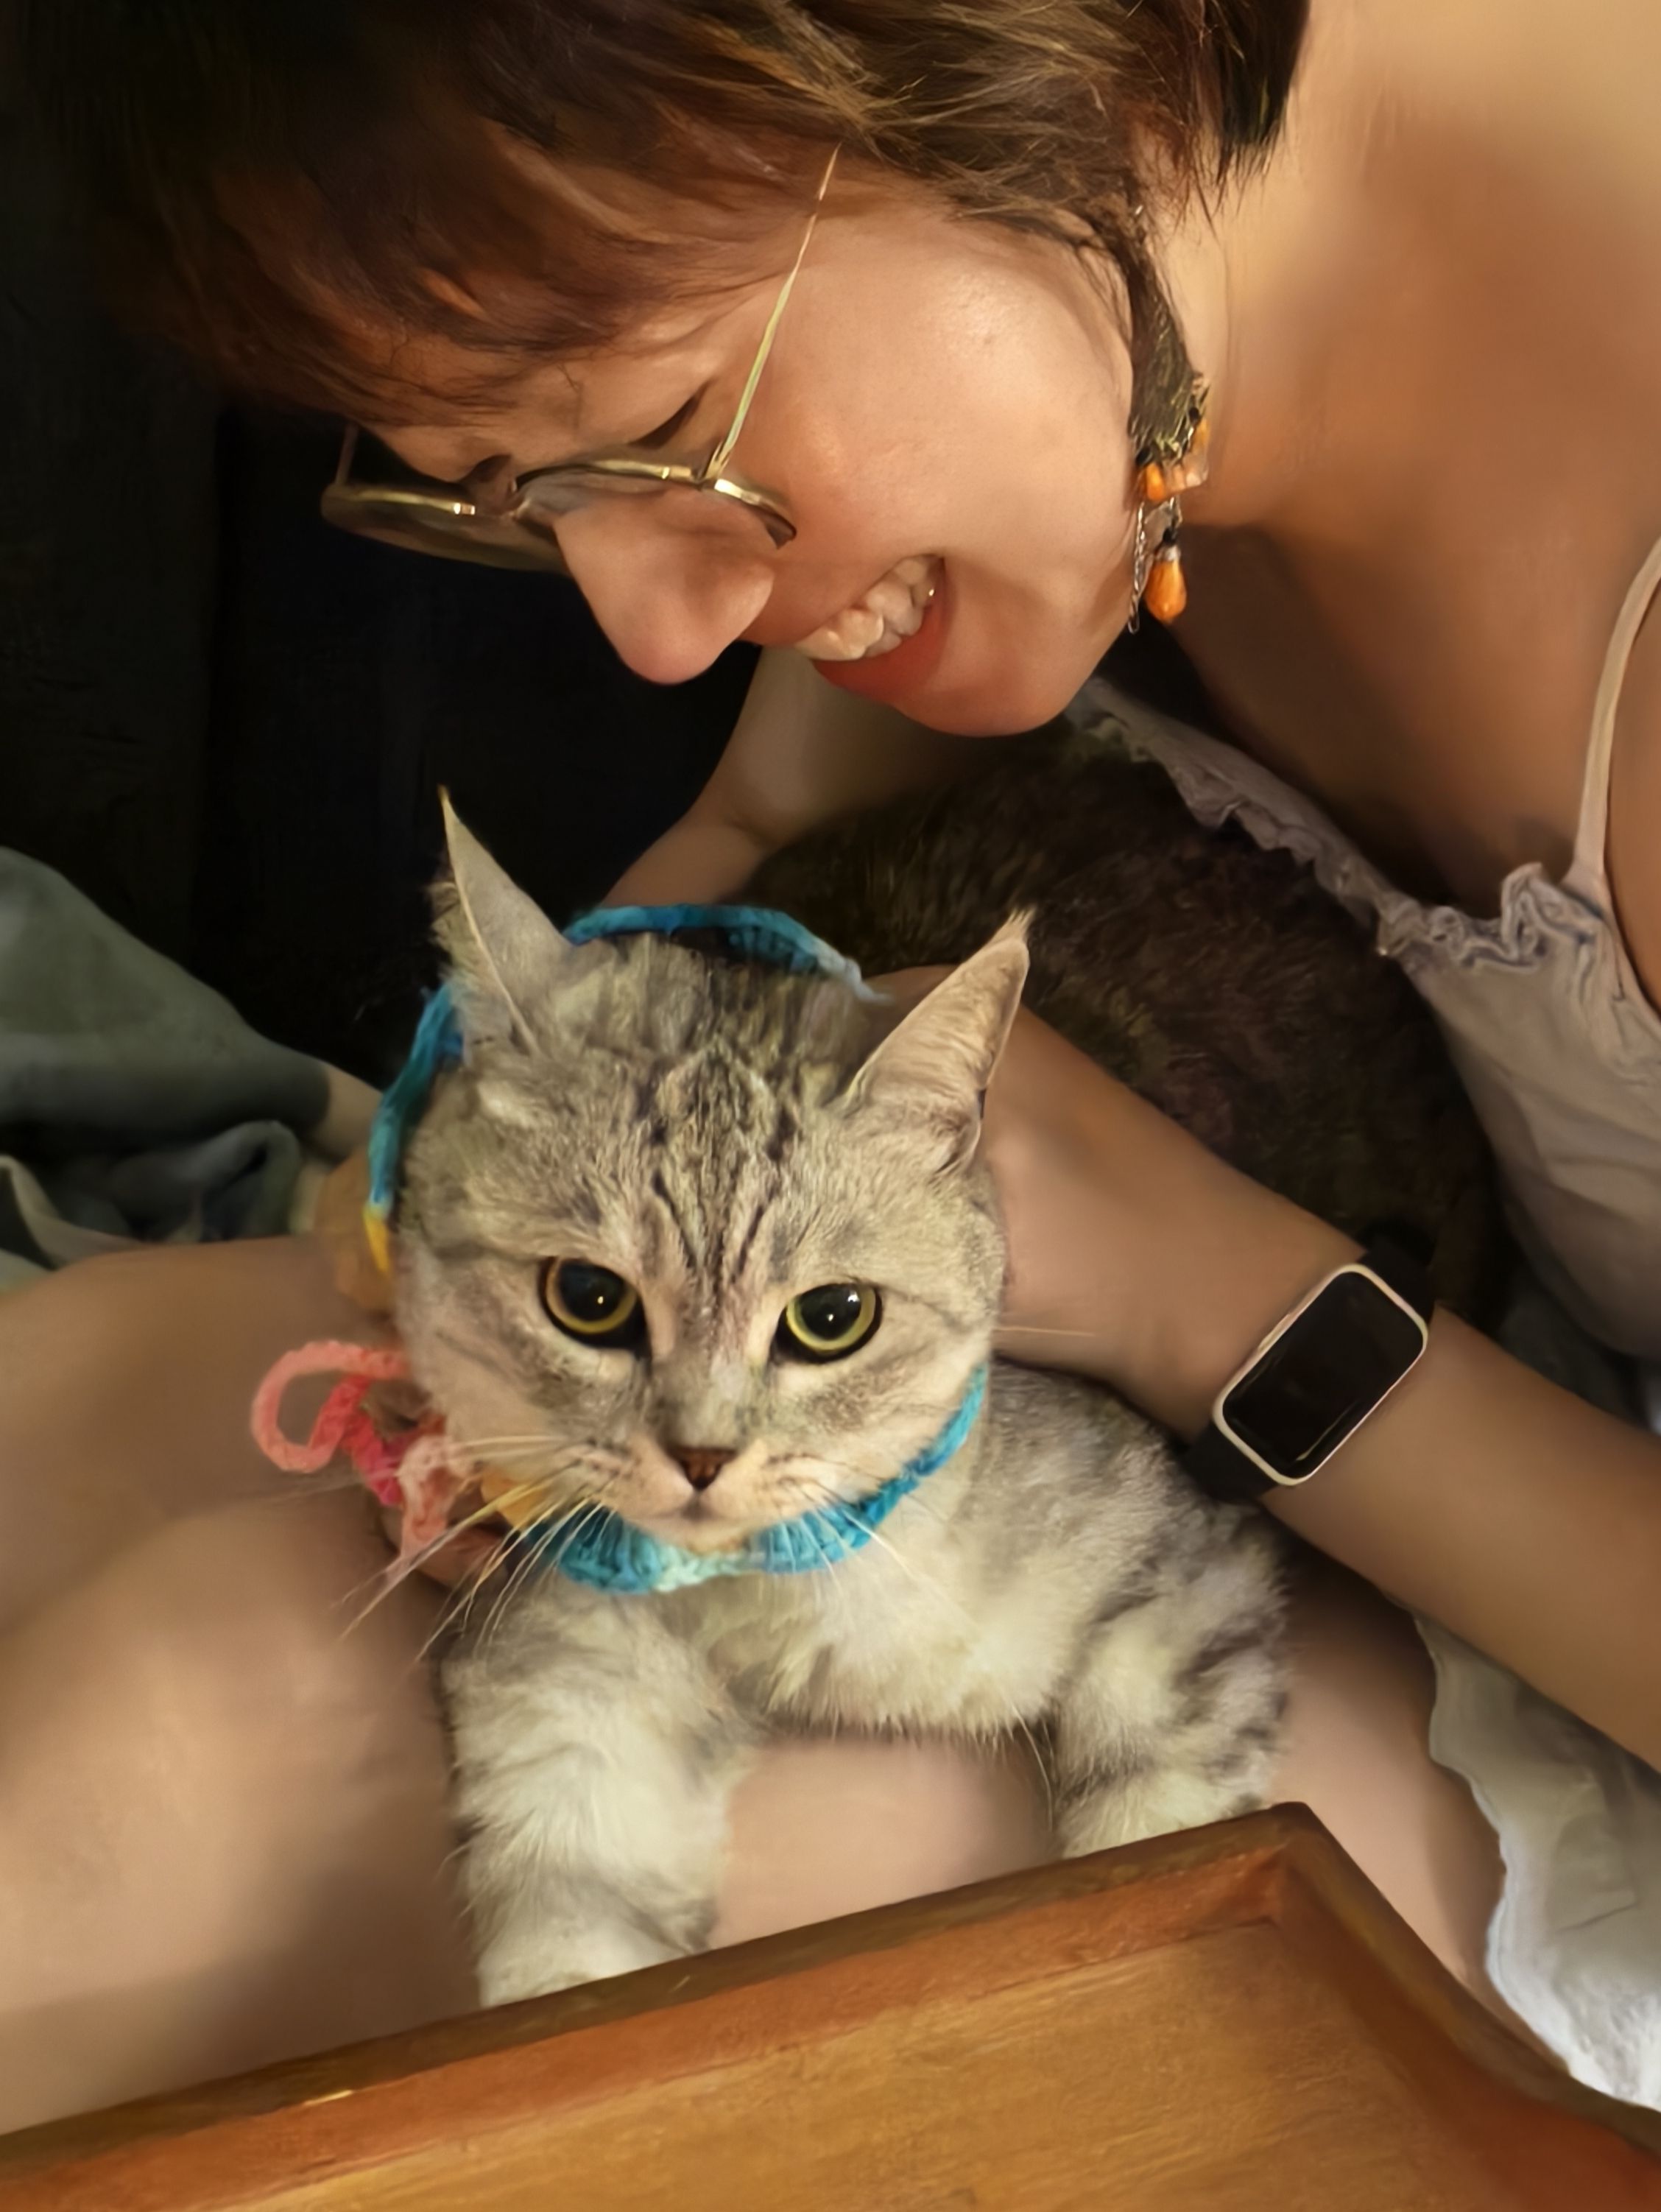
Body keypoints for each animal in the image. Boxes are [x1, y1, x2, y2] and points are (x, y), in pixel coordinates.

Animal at [393, 715, 1500, 2005]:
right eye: (589, 1299)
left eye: (833, 1317)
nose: (703, 1457)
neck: (775, 1600)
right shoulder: (559, 1675)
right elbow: (572, 1937)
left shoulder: (1190, 1587)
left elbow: (1162, 1840)